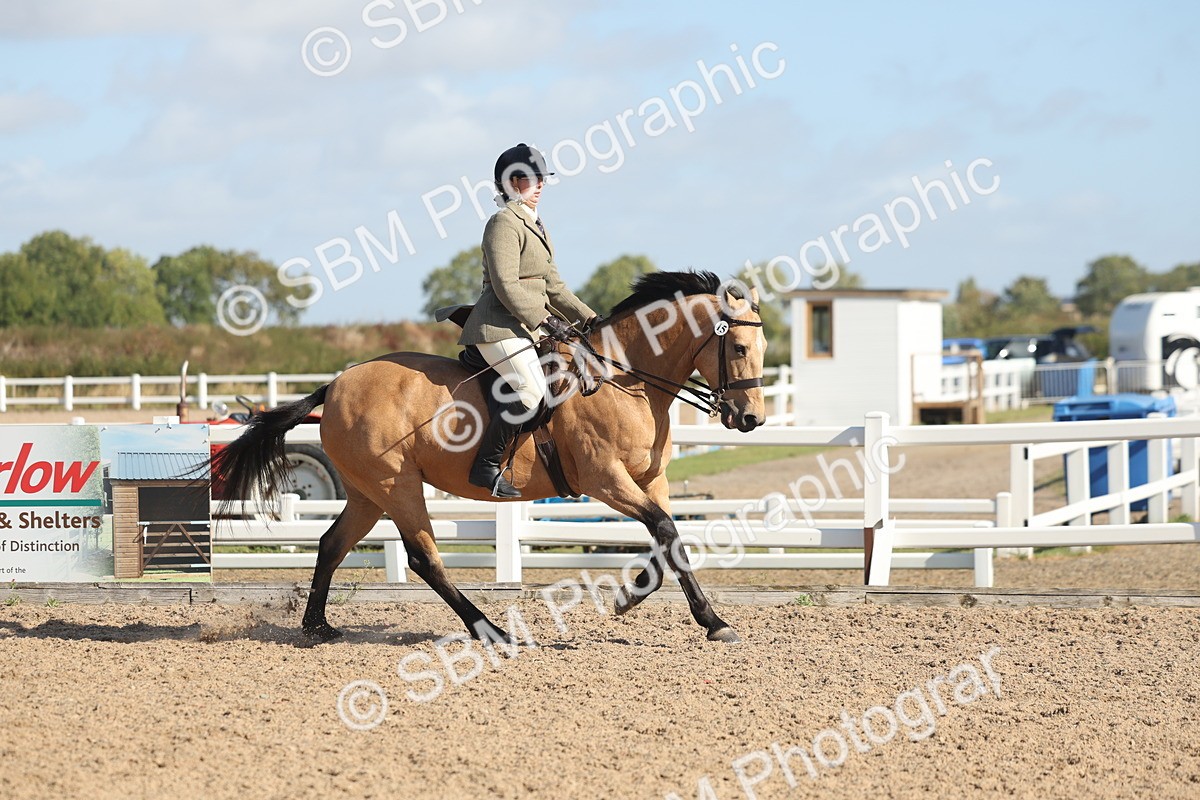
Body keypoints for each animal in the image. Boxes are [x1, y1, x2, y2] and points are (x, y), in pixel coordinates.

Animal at [212, 270, 767, 644]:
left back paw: (317, 626)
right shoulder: (606, 481)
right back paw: (490, 630)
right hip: (397, 486)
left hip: (367, 493)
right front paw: (707, 620)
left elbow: (669, 538)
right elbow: (667, 531)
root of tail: (336, 384)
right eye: (739, 347)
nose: (751, 419)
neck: (623, 380)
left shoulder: (650, 481)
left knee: (331, 544)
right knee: (423, 557)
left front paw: (640, 600)